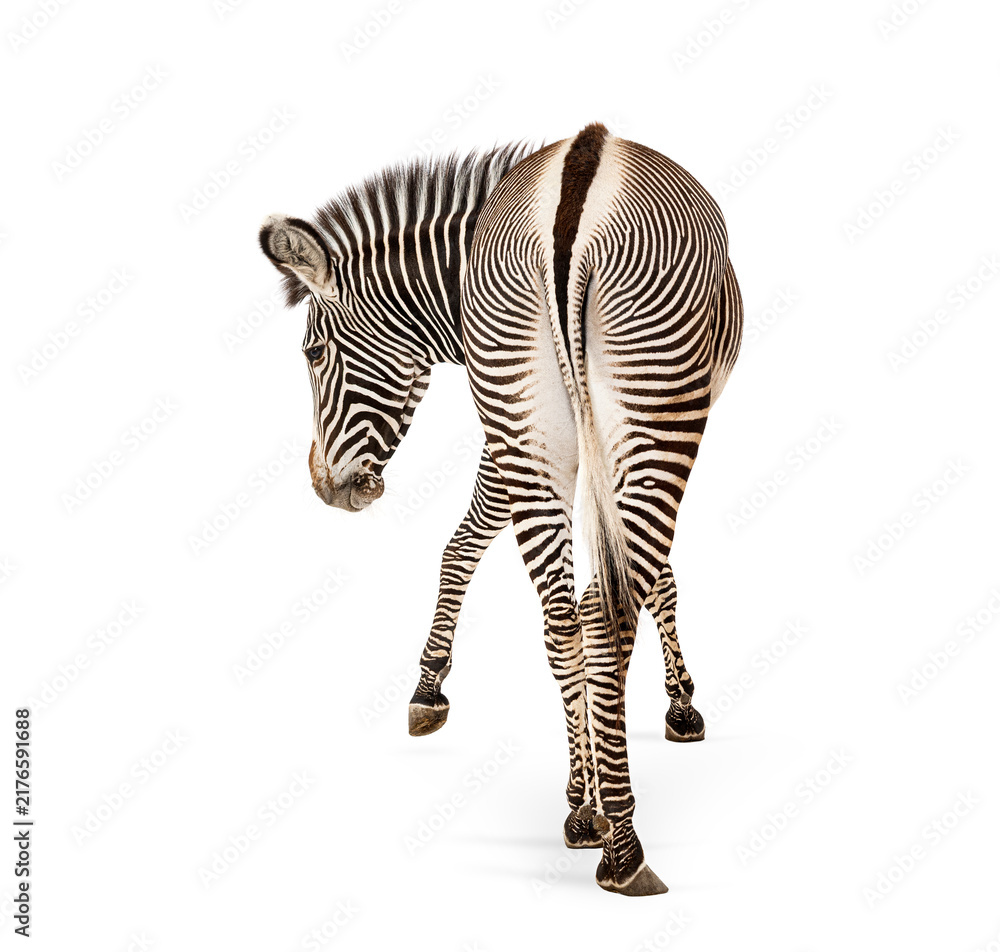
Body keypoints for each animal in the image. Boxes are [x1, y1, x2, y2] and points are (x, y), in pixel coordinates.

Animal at [258, 123, 742, 894]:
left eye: (312, 352)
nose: (326, 487)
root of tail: (583, 168)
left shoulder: (509, 435)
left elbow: (476, 547)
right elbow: (638, 575)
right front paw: (680, 701)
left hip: (543, 424)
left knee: (568, 618)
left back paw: (588, 812)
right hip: (642, 410)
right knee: (597, 612)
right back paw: (617, 837)